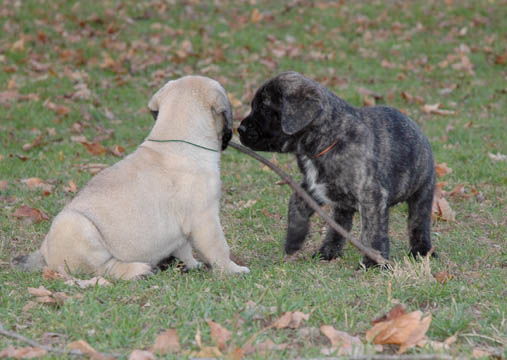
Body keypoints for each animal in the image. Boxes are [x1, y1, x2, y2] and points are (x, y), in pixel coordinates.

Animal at [16, 75, 252, 278]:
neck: (177, 138)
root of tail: (44, 254)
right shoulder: (206, 218)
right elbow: (219, 248)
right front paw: (233, 269)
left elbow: (184, 247)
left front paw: (192, 265)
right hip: (78, 228)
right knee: (105, 268)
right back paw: (139, 270)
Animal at [238, 71, 436, 268]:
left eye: (264, 108)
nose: (240, 129)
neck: (328, 140)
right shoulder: (313, 186)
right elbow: (296, 203)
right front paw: (294, 239)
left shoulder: (371, 196)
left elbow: (371, 232)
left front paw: (372, 263)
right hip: (342, 206)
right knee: (340, 226)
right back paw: (327, 252)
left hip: (422, 193)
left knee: (418, 223)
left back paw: (421, 251)